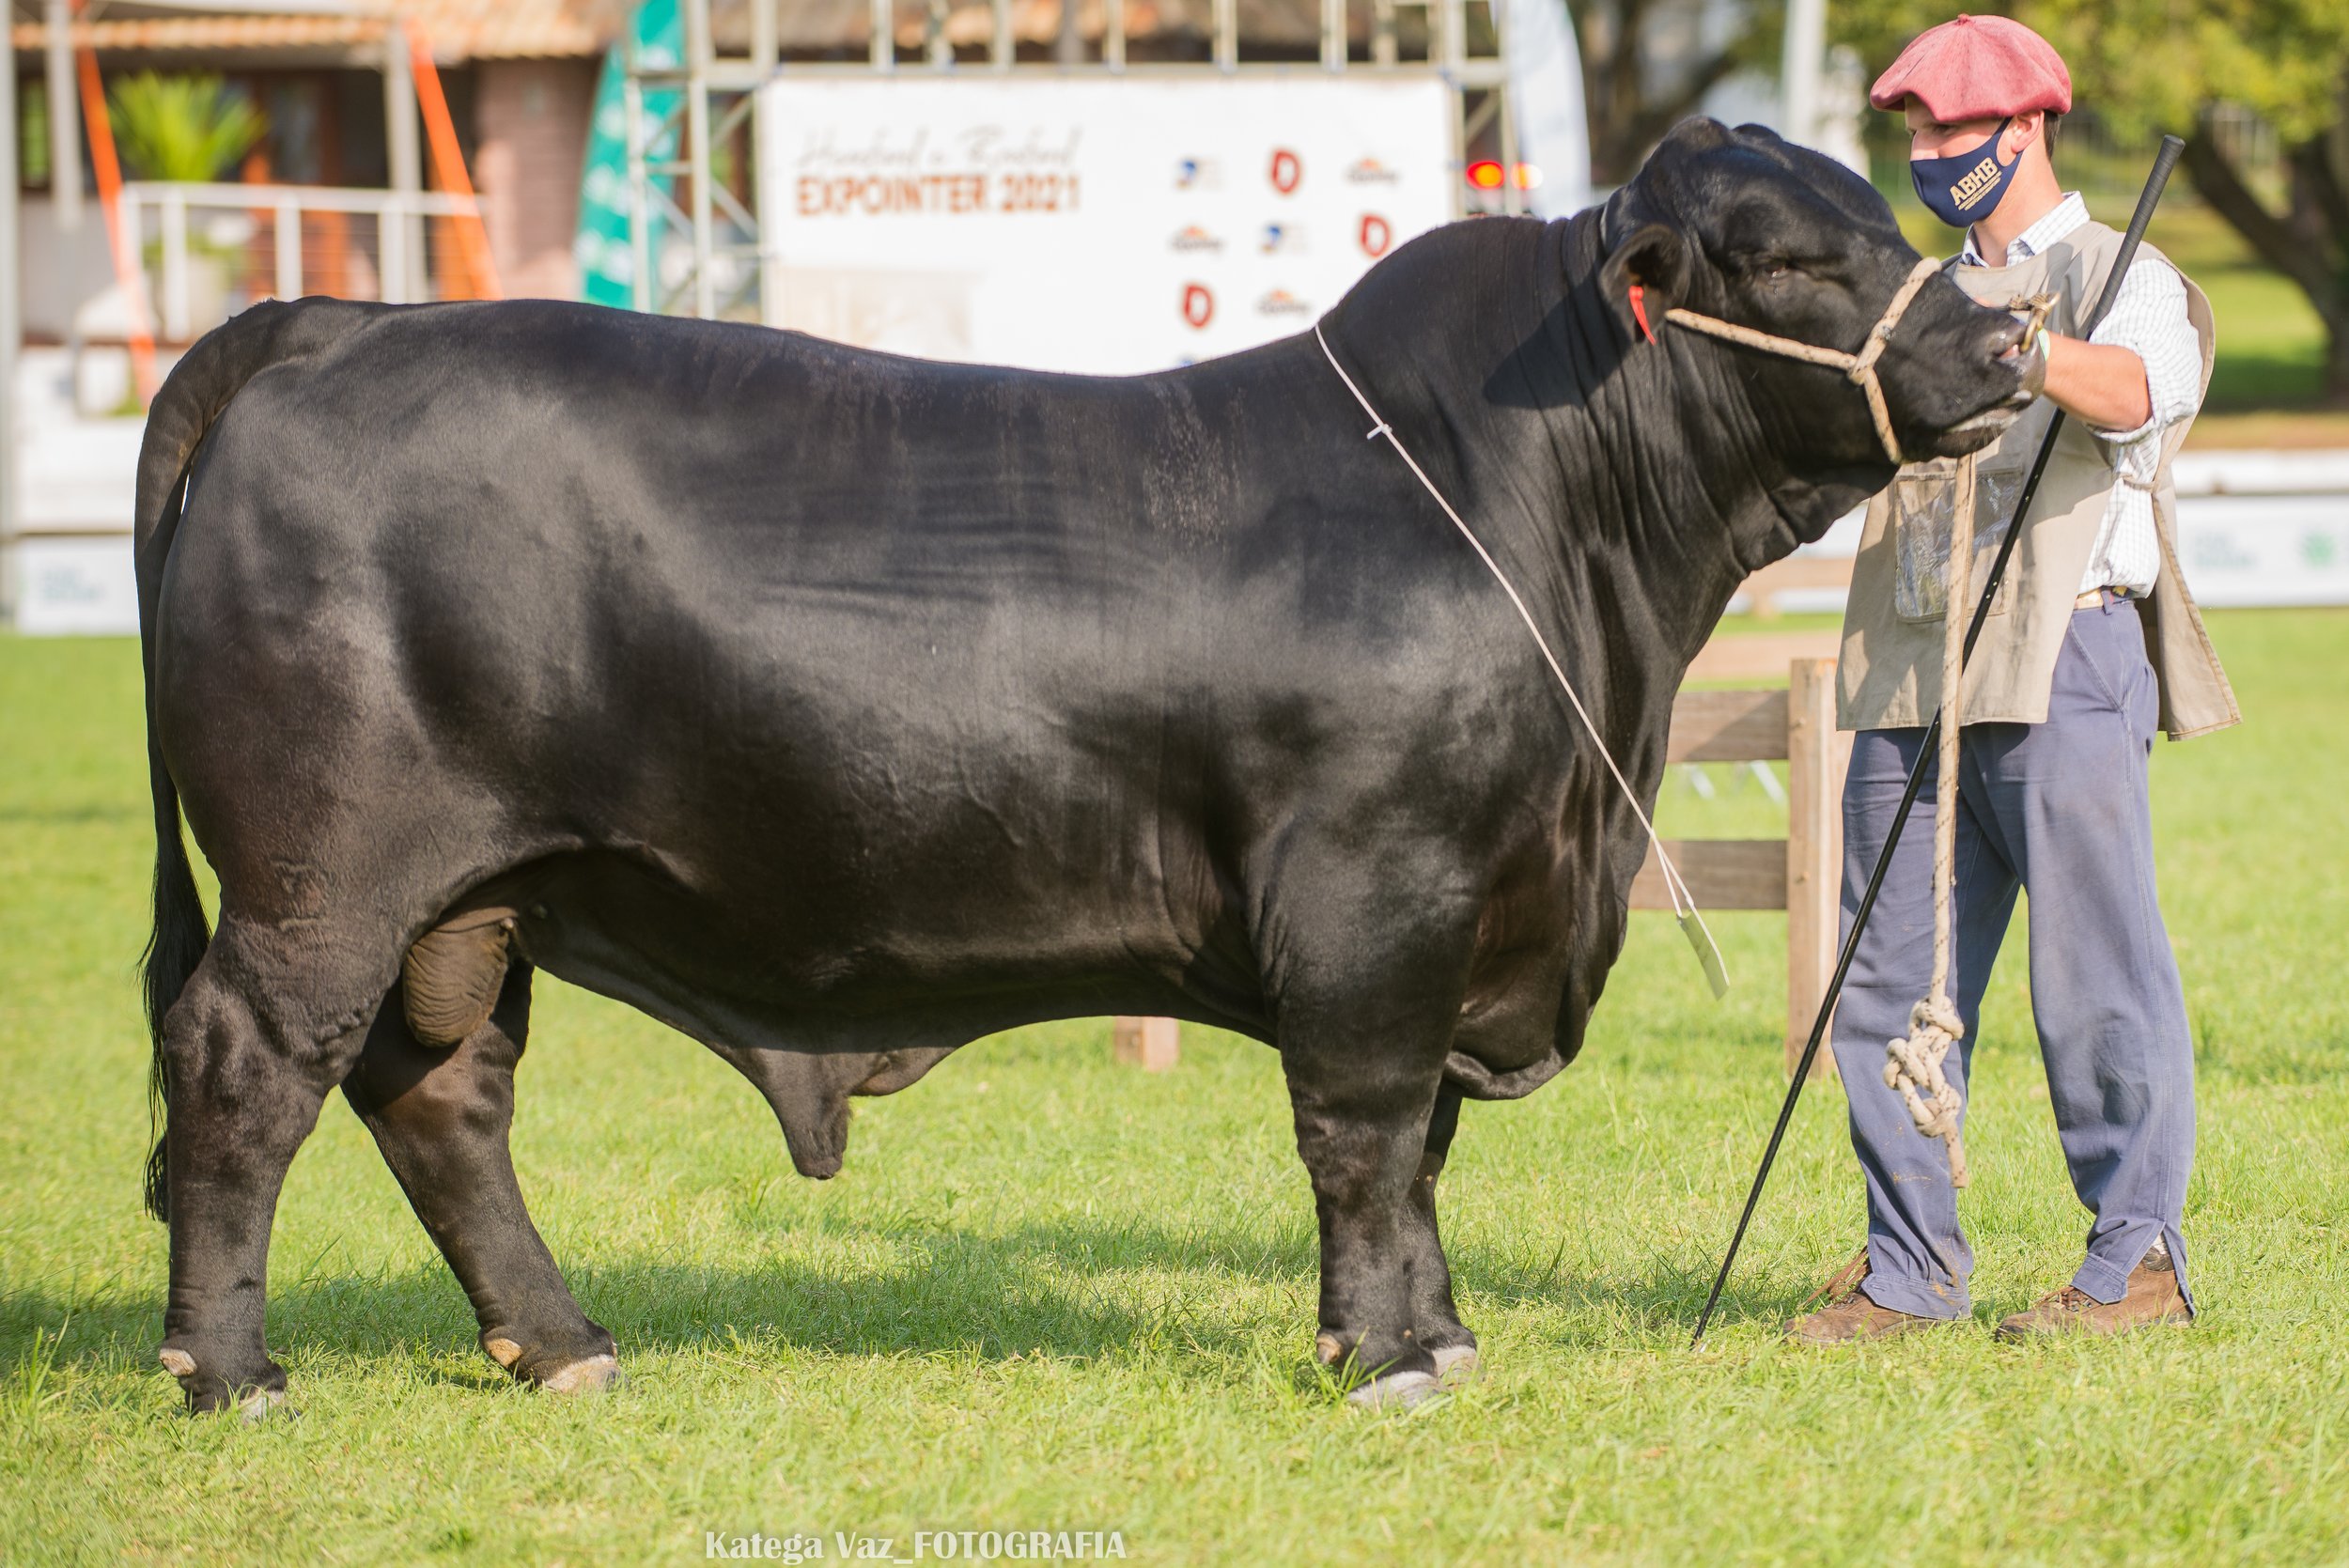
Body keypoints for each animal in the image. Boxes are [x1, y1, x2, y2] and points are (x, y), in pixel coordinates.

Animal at [132, 122, 2039, 1418]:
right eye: (1782, 257)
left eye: (1889, 217)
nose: (2011, 346)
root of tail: (338, 322)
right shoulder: (1377, 888)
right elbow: (1366, 1128)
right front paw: (1391, 1355)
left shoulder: (1467, 898)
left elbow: (1420, 1147)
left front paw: (1421, 1330)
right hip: (327, 876)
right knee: (246, 1069)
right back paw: (232, 1369)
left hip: (472, 900)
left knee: (439, 1096)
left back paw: (566, 1344)